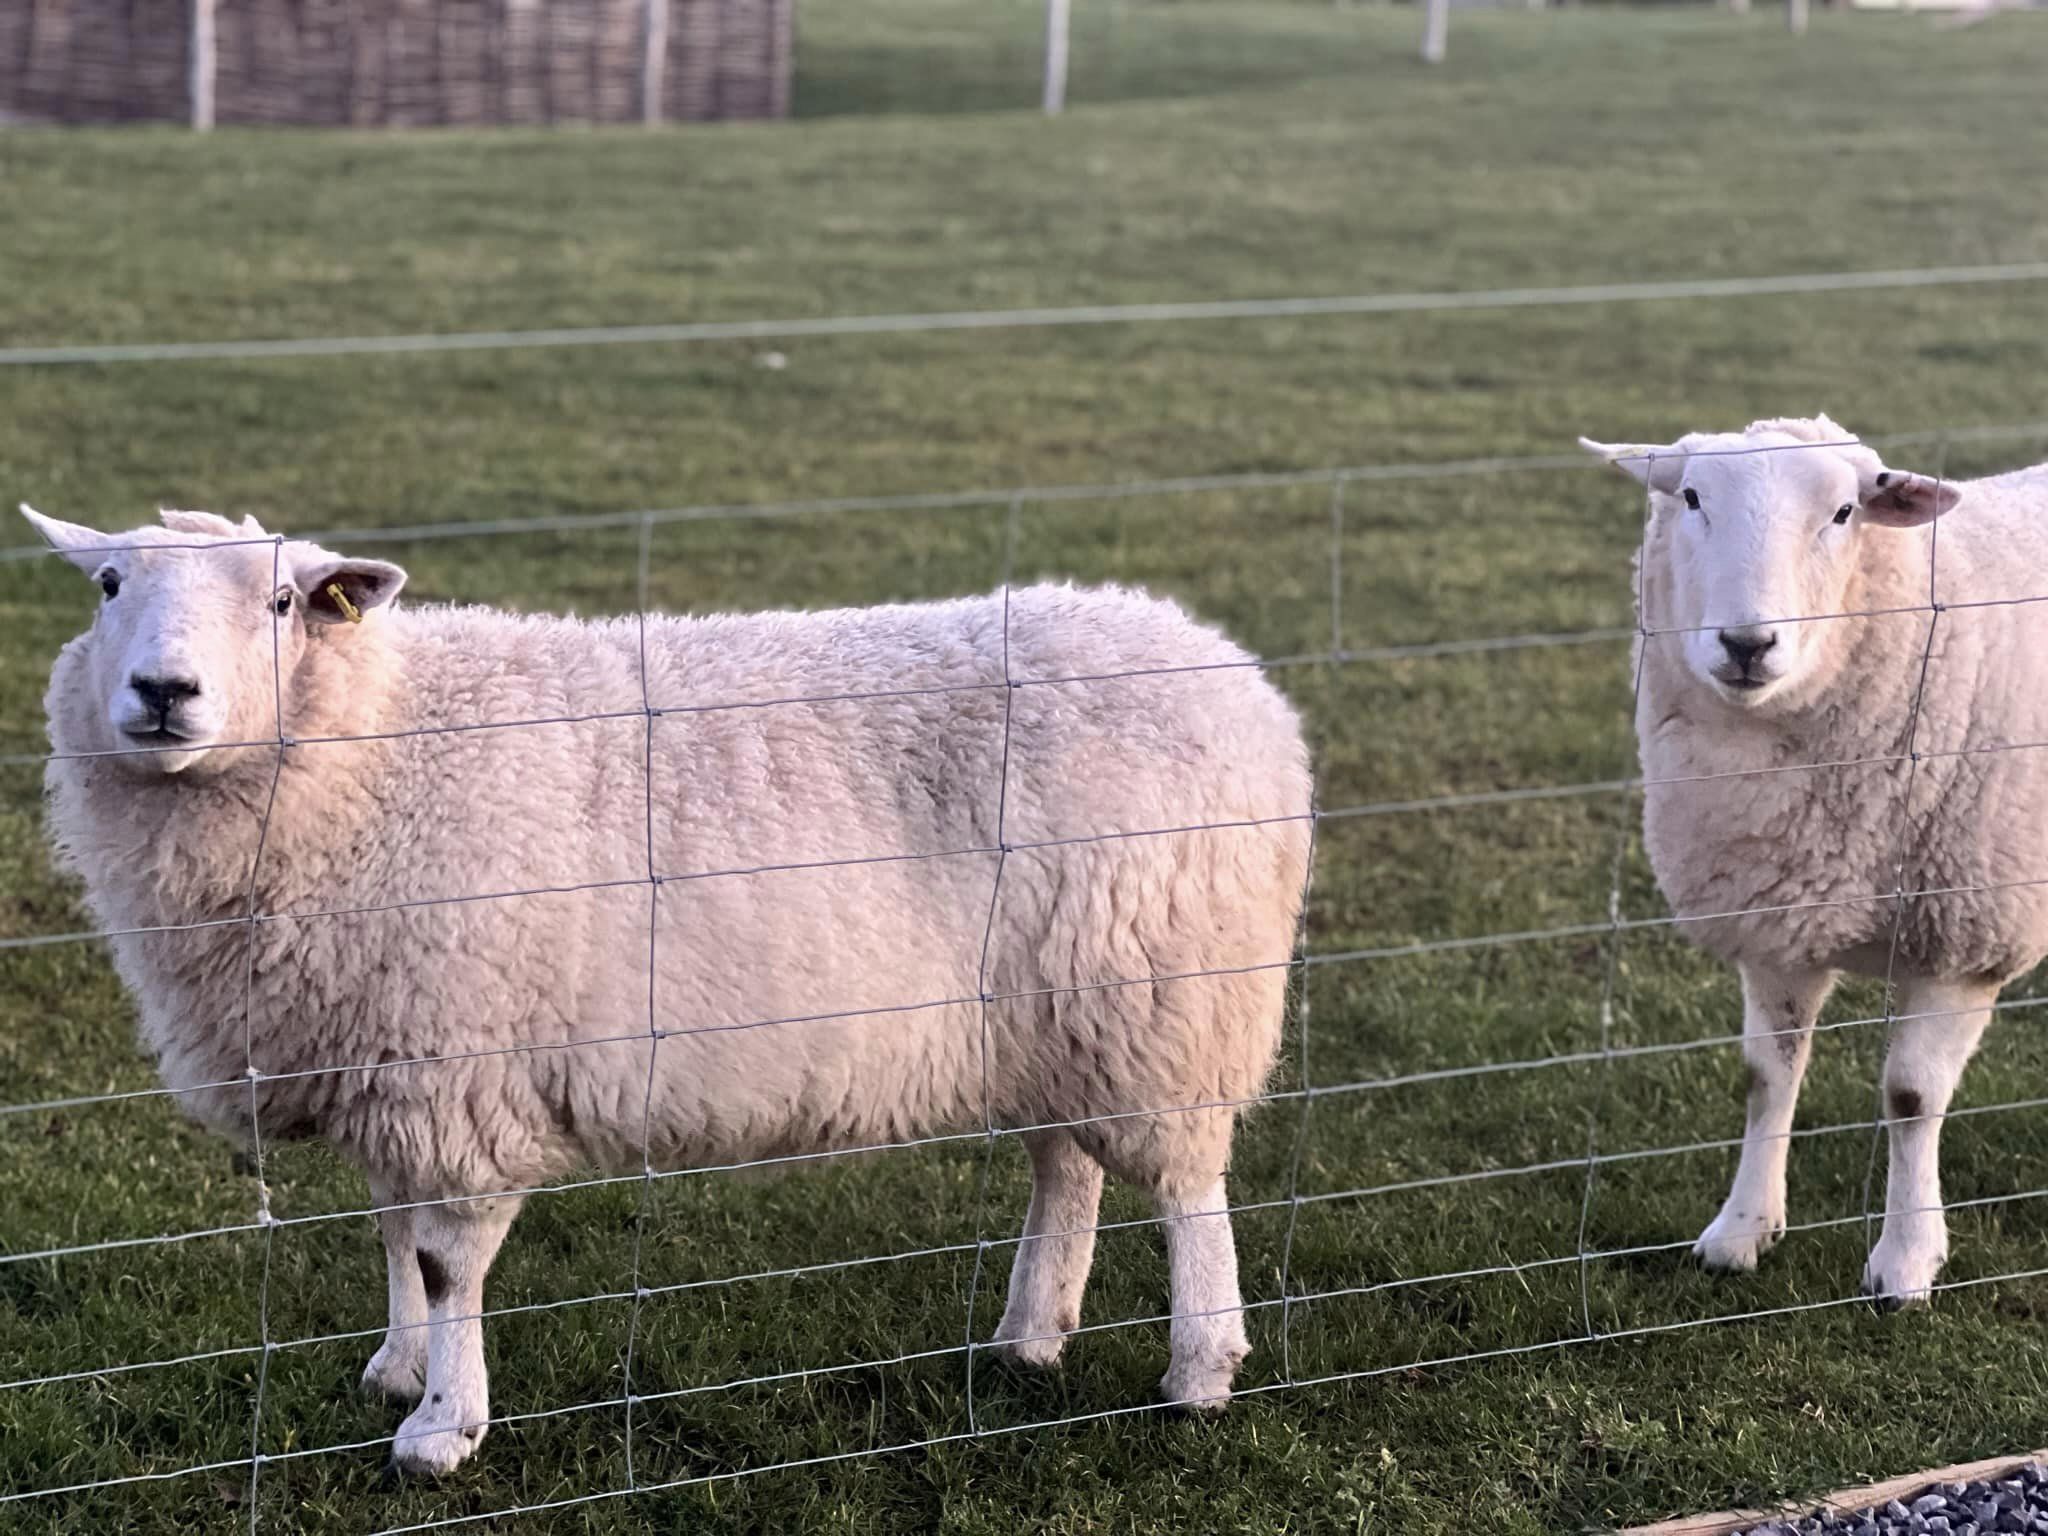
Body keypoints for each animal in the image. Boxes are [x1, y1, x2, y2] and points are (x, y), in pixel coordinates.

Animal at [19, 505, 1310, 1482]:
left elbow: (447, 1261)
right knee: (1065, 1165)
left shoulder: (458, 1056)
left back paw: (1197, 1372)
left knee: (1186, 1187)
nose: (164, 691)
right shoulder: (386, 1054)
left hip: (1165, 995)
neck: (380, 750)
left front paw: (441, 1430)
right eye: (108, 584)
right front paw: (397, 1369)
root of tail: (1238, 683)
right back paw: (1029, 1338)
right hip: (1058, 1013)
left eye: (282, 605)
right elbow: (392, 1228)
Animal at [1589, 417, 2048, 1310]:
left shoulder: (1967, 936)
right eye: (1690, 497)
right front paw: (1741, 1230)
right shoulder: (1777, 920)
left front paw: (1905, 1261)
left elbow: (1910, 1098)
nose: (1747, 643)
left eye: (1843, 513)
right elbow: (1767, 1076)